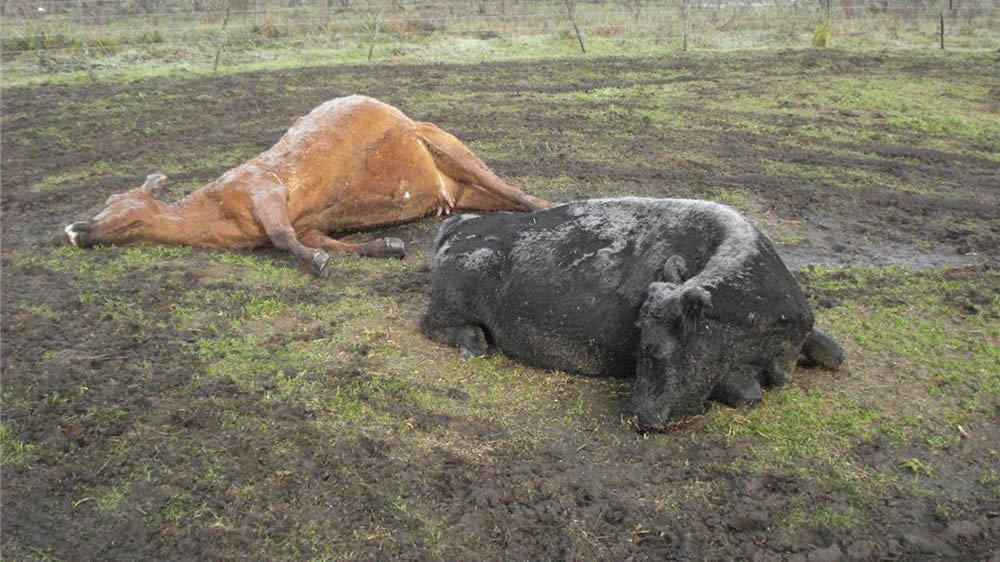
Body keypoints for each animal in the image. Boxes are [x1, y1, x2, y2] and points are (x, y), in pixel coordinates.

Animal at [63, 95, 552, 274]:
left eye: (123, 204)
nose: (75, 229)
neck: (218, 214)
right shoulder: (309, 222)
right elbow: (324, 241)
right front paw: (385, 246)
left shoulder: (263, 188)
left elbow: (282, 237)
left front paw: (315, 262)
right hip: (460, 190)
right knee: (503, 197)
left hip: (447, 145)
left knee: (517, 192)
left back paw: (549, 207)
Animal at [422, 197, 844, 428]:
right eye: (643, 347)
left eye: (657, 349)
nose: (644, 417)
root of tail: (462, 224)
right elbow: (747, 393)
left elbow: (835, 353)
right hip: (450, 303)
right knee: (434, 326)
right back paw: (472, 341)